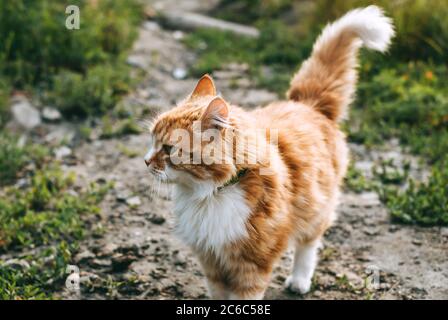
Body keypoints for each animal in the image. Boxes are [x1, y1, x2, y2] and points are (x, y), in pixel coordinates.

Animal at [144, 5, 392, 300]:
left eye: (169, 149)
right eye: (152, 140)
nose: (146, 162)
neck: (212, 194)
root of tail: (306, 104)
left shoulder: (253, 262)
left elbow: (244, 296)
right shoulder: (211, 258)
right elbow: (218, 293)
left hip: (315, 210)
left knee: (308, 245)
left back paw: (299, 280)